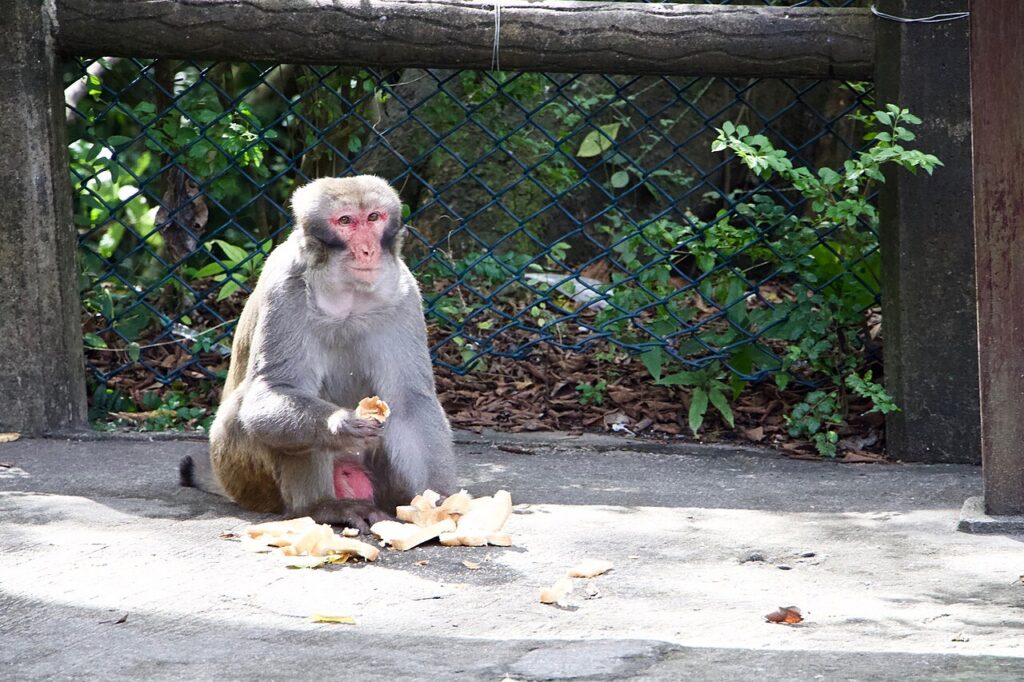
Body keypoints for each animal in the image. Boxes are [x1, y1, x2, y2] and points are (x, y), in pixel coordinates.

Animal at [179, 175, 456, 531]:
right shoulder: (285, 290)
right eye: (345, 221)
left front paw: (441, 502)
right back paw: (320, 507)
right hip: (245, 477)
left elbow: (409, 403)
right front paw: (340, 425)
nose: (367, 250)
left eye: (374, 218)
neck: (347, 295)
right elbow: (273, 392)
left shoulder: (405, 295)